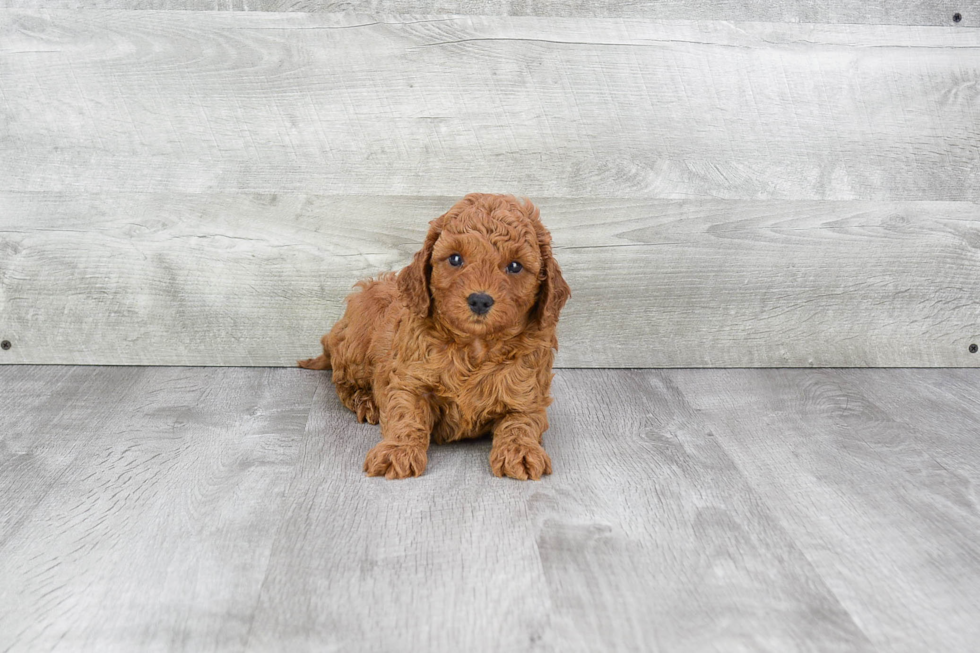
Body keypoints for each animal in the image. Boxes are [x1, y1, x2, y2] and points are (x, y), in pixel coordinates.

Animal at [296, 192, 568, 478]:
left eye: (515, 266)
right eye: (455, 259)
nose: (480, 300)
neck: (474, 347)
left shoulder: (528, 395)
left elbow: (521, 423)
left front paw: (521, 452)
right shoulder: (409, 382)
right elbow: (406, 415)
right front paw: (397, 451)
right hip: (357, 343)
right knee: (342, 381)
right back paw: (367, 401)